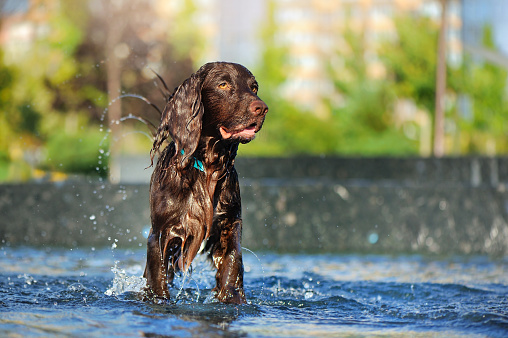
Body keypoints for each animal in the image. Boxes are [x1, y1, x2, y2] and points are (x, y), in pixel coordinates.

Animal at [143, 61, 268, 304]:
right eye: (223, 84)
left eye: (254, 87)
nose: (262, 108)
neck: (208, 167)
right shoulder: (160, 234)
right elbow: (158, 282)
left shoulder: (230, 226)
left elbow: (231, 270)